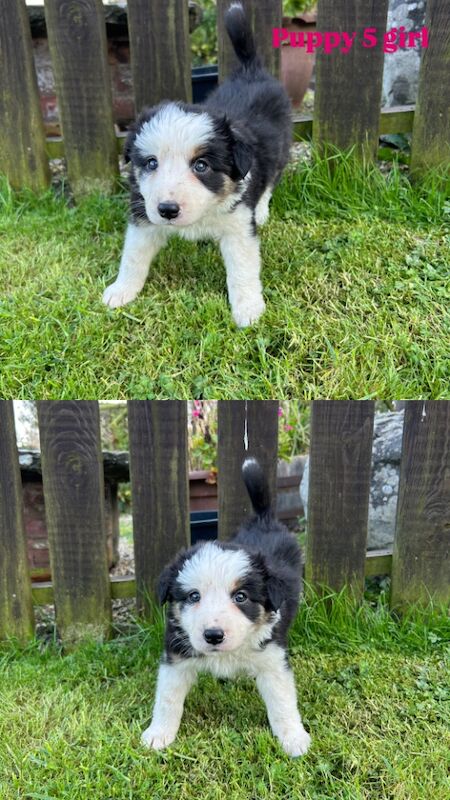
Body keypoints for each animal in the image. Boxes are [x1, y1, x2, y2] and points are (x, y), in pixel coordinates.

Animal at [102, 2, 292, 328]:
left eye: (201, 166)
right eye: (151, 163)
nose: (167, 210)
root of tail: (251, 70)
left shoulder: (239, 225)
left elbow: (242, 270)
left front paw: (248, 309)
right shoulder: (143, 216)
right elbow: (133, 257)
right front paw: (121, 290)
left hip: (280, 150)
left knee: (270, 181)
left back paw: (263, 210)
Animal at [142, 456, 312, 756]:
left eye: (241, 597)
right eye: (193, 596)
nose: (213, 635)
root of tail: (264, 520)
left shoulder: (272, 658)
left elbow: (282, 703)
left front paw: (293, 739)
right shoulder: (176, 656)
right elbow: (167, 699)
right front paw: (158, 734)